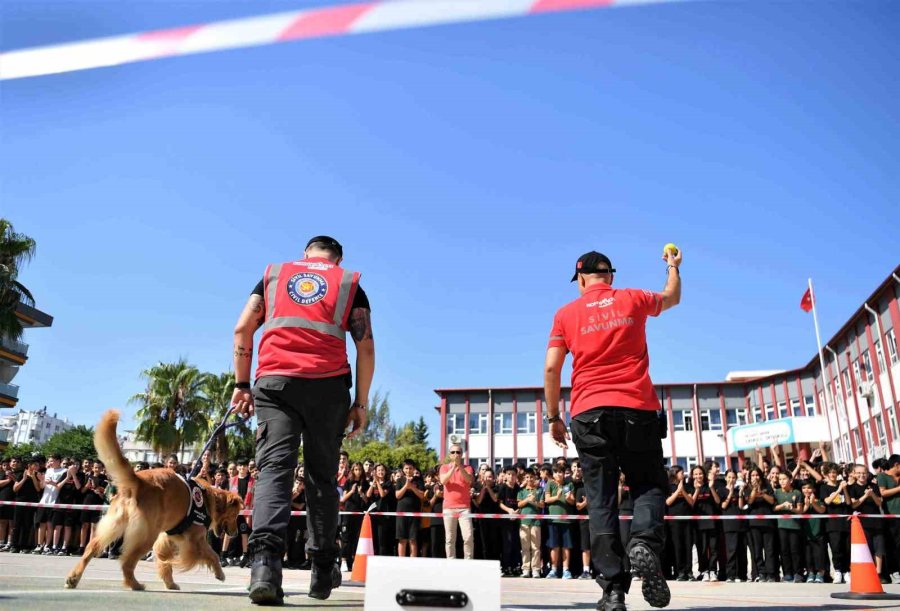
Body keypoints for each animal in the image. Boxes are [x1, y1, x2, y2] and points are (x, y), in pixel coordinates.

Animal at [65, 412, 244, 592]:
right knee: (126, 562)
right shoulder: (195, 539)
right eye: (235, 514)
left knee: (91, 548)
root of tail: (139, 482)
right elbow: (212, 554)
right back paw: (135, 584)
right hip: (146, 535)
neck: (210, 499)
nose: (236, 533)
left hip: (115, 525)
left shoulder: (167, 538)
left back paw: (73, 578)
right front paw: (219, 573)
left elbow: (165, 562)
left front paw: (170, 582)